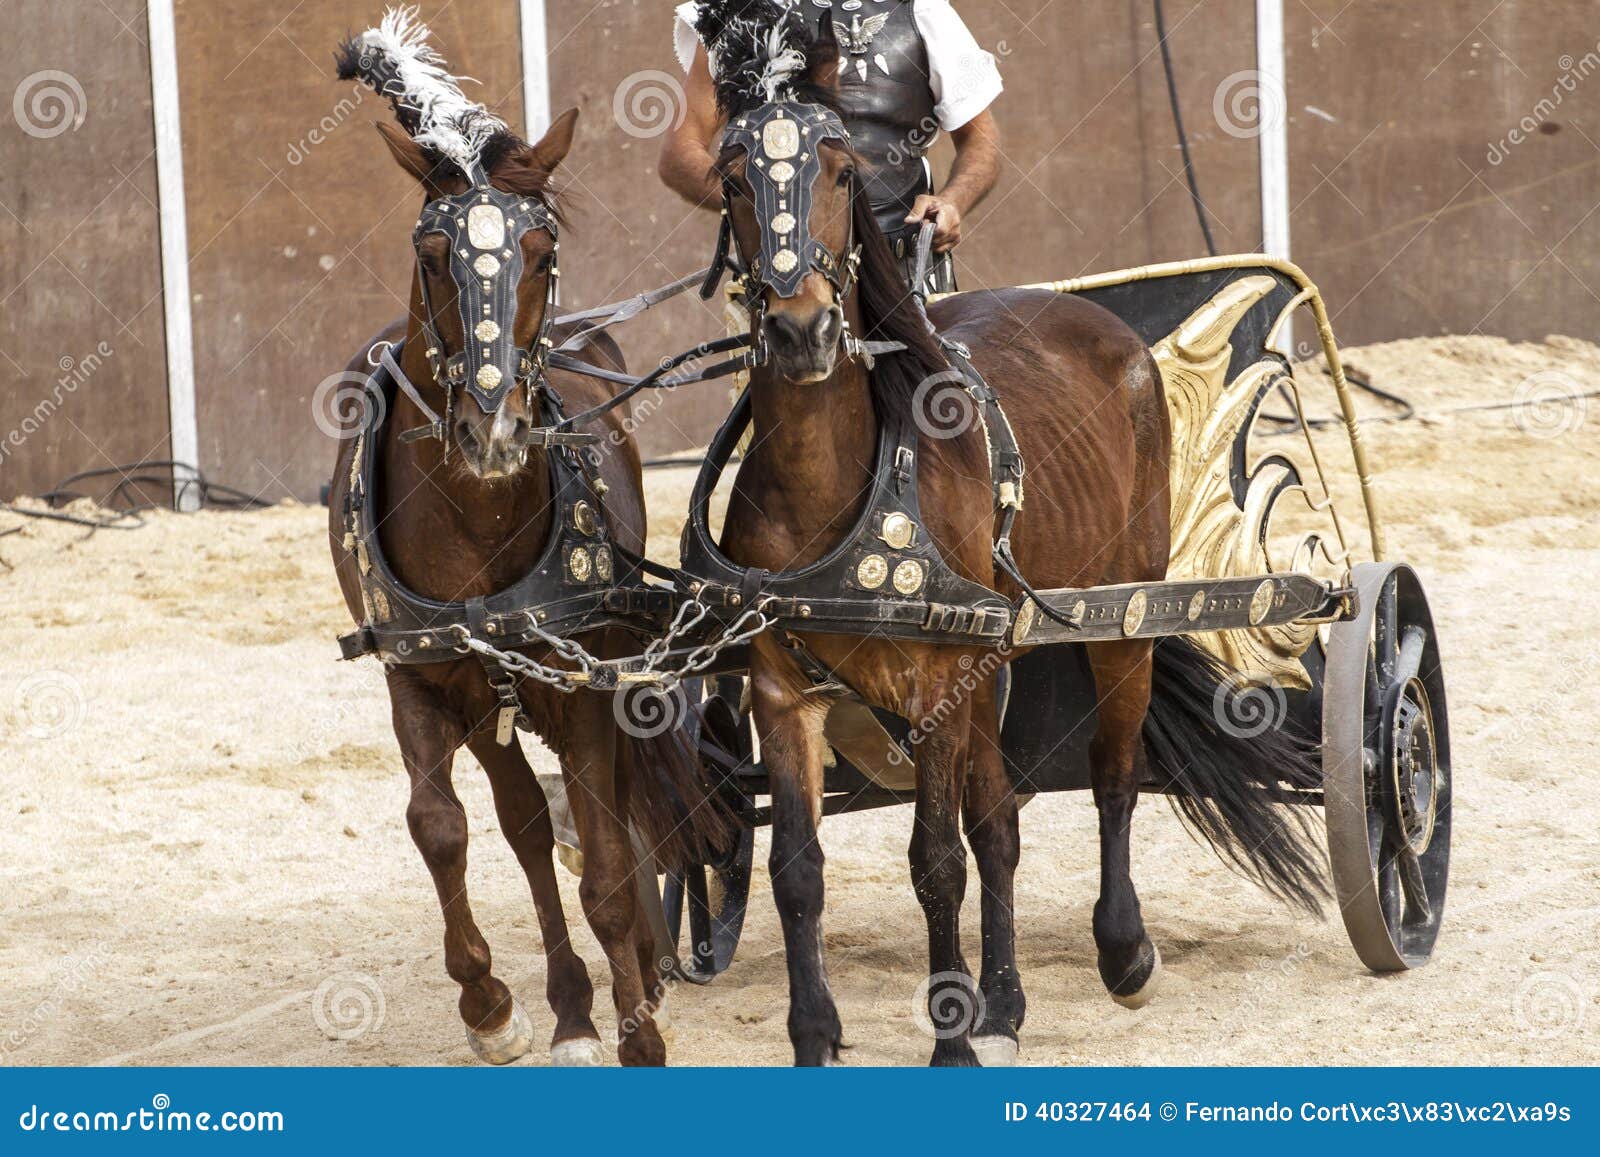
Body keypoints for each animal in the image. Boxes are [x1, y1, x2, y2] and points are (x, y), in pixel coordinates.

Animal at [328, 22, 723, 1068]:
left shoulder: (581, 673)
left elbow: (610, 860)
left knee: (607, 818)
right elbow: (441, 827)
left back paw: (635, 979)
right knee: (526, 823)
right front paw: (493, 1005)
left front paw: (639, 1029)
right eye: (431, 252)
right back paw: (574, 1006)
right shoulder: (419, 670)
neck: (474, 515)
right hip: (486, 693)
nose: (493, 424)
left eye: (541, 251)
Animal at [707, 9, 1318, 1068]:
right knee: (999, 818)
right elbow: (799, 867)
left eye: (837, 169)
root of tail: (1094, 319)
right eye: (734, 177)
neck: (836, 486)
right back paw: (1003, 1001)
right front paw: (819, 1032)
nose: (800, 331)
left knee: (1112, 777)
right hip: (994, 661)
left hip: (1120, 624)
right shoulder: (783, 686)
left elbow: (935, 859)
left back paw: (1122, 951)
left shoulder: (936, 686)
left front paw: (950, 1039)